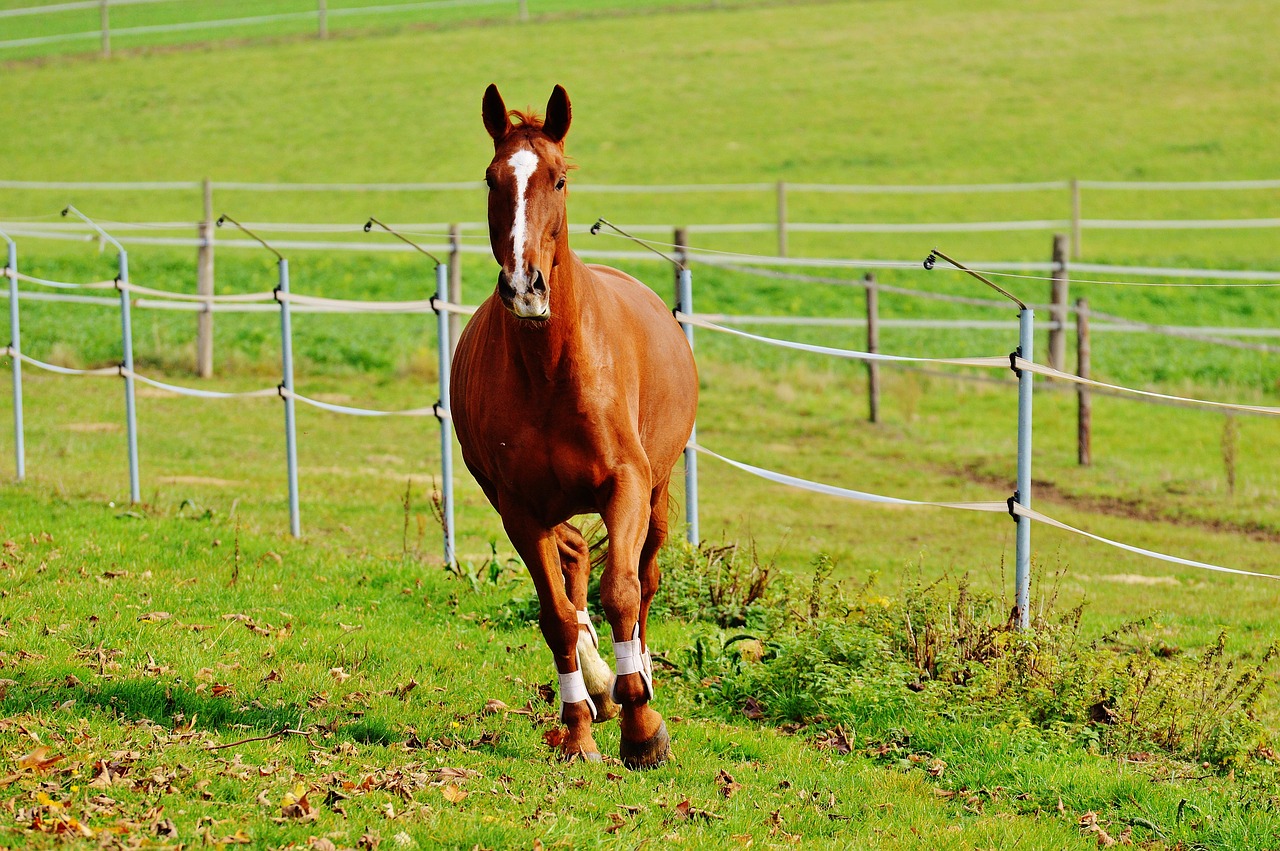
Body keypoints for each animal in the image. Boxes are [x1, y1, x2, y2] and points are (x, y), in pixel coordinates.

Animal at [453, 83, 701, 767]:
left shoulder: (626, 486)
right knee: (573, 558)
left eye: (559, 179)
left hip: (659, 493)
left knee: (645, 580)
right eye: (491, 179)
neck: (550, 369)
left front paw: (643, 729)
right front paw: (578, 729)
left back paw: (635, 676)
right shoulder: (519, 508)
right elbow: (557, 614)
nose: (525, 287)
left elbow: (622, 592)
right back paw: (599, 683)